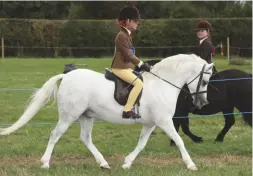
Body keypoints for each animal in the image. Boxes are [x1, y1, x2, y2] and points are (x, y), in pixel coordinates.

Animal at [0, 53, 213, 170]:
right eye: (204, 81)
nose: (202, 103)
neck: (161, 84)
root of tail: (67, 76)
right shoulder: (164, 121)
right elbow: (179, 140)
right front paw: (191, 164)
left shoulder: (150, 123)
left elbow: (141, 144)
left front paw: (127, 163)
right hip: (69, 116)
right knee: (55, 135)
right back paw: (45, 162)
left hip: (86, 116)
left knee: (85, 138)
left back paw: (103, 163)